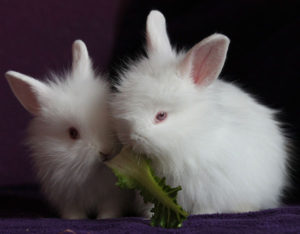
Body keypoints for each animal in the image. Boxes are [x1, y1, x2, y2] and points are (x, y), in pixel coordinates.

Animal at [5, 39, 136, 219]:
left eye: (110, 119)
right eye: (73, 133)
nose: (106, 151)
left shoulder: (113, 196)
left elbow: (110, 208)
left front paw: (106, 218)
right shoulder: (66, 197)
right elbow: (73, 211)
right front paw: (76, 218)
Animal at [111, 11, 290, 216]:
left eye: (161, 116)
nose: (132, 138)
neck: (192, 137)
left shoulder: (209, 189)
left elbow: (206, 206)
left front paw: (203, 214)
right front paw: (148, 216)